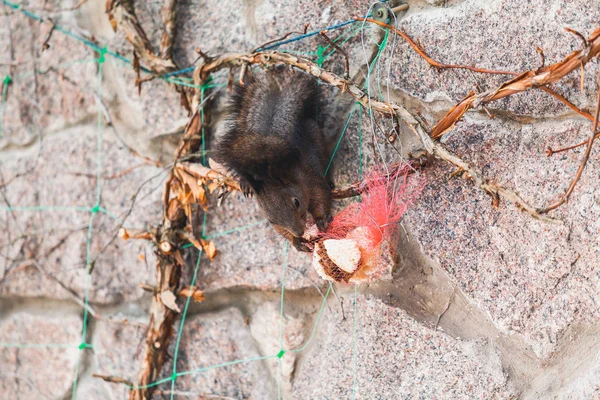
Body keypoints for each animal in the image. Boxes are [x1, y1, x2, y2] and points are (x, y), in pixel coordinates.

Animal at [216, 67, 332, 252]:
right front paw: (296, 241)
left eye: (296, 202)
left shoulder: (311, 178)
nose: (299, 232)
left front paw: (321, 219)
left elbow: (321, 196)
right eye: (271, 220)